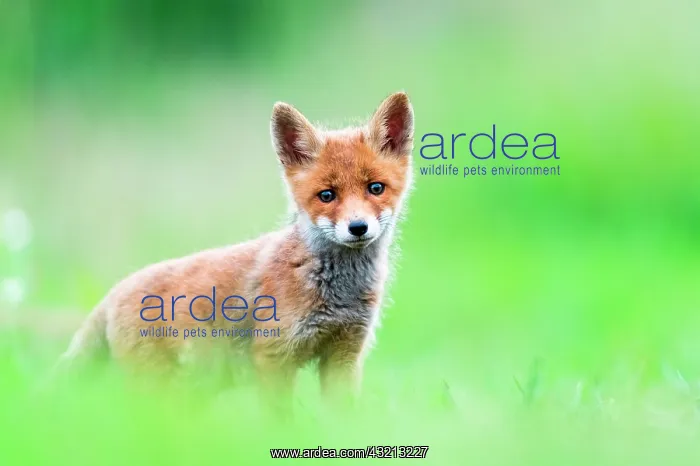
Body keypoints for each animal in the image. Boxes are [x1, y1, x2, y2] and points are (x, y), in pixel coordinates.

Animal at [56, 92, 415, 404]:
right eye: (327, 195)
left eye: (376, 188)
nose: (358, 228)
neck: (336, 292)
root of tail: (114, 292)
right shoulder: (273, 356)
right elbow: (281, 421)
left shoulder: (345, 354)